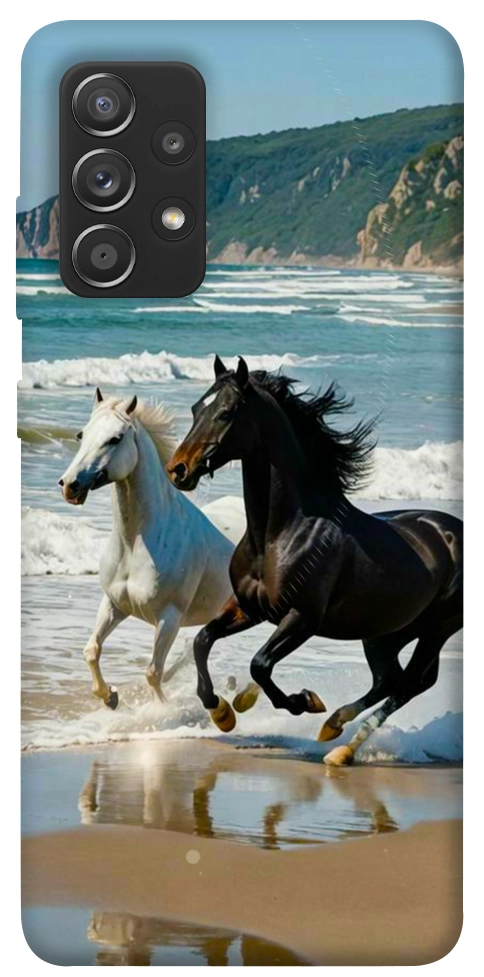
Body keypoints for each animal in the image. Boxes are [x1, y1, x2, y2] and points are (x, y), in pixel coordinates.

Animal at [59, 388, 234, 709]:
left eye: (115, 438)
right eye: (81, 434)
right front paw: (110, 697)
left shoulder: (169, 618)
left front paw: (161, 711)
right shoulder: (114, 604)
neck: (135, 544)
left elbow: (153, 672)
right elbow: (92, 650)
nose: (70, 485)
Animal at [166, 356, 463, 765]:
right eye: (197, 408)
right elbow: (202, 640)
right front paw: (223, 711)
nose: (177, 469)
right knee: (390, 679)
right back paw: (334, 729)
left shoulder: (302, 618)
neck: (280, 534)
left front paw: (302, 701)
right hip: (386, 632)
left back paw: (341, 746)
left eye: (225, 413)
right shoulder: (248, 608)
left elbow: (260, 664)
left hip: (437, 628)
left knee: (410, 683)